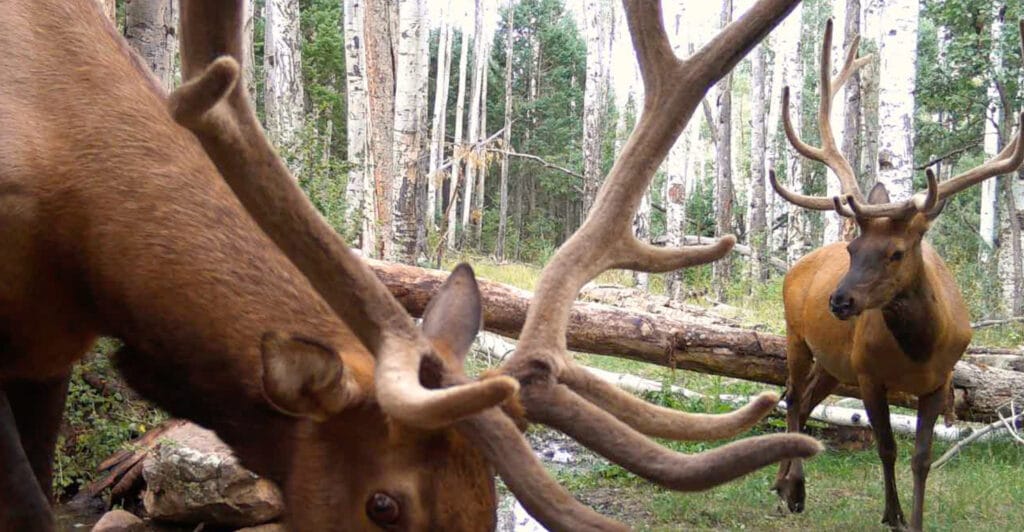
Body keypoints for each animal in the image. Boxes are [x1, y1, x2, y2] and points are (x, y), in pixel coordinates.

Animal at [768, 19, 1024, 532]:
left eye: (896, 252)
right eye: (853, 248)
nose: (839, 300)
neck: (919, 350)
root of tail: (799, 264)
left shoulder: (941, 383)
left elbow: (921, 458)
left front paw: (917, 519)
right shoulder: (869, 375)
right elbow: (886, 447)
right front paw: (892, 514)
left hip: (834, 364)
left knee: (805, 401)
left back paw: (785, 485)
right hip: (797, 336)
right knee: (791, 398)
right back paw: (793, 488)